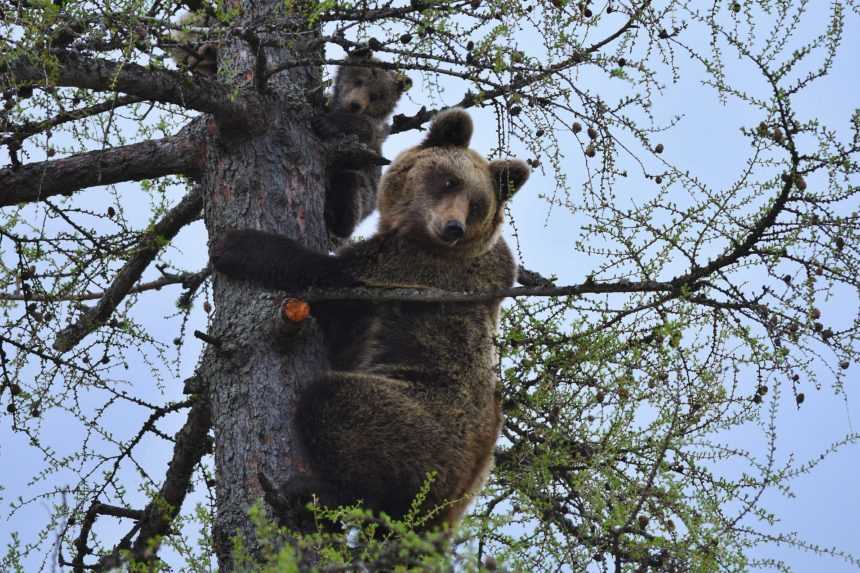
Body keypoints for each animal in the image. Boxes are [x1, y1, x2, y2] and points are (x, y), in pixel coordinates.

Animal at [212, 108, 528, 532]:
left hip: (425, 421)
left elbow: (329, 276)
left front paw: (237, 245)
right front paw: (337, 138)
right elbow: (340, 219)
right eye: (450, 181)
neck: (411, 232)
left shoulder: (412, 272)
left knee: (338, 403)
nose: (452, 228)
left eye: (476, 204)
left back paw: (315, 494)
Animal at [314, 54, 412, 238]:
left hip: (364, 194)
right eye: (358, 81)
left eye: (376, 96)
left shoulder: (373, 135)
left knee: (349, 184)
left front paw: (326, 123)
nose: (355, 104)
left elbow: (363, 127)